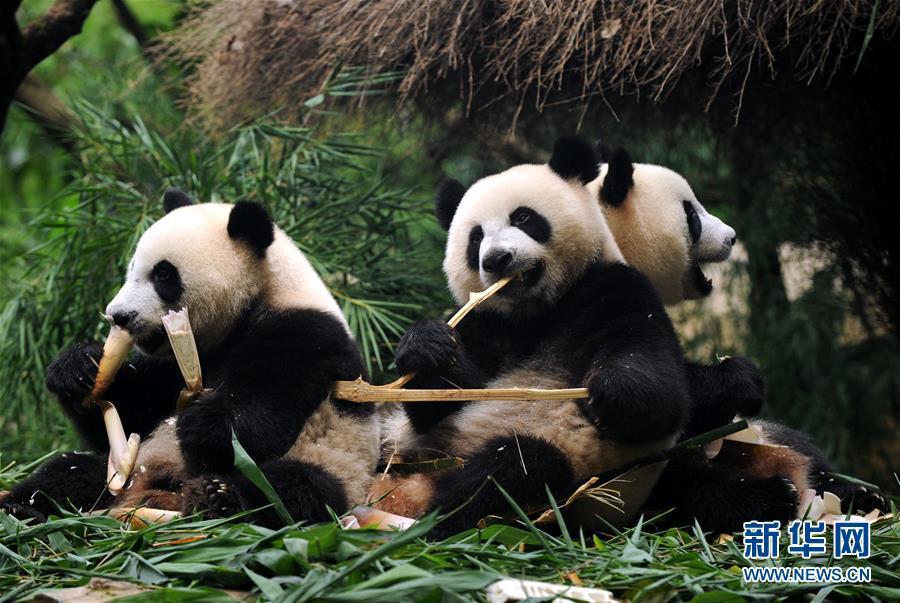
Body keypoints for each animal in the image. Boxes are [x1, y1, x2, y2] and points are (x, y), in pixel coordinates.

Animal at [0, 191, 380, 528]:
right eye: (132, 269)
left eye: (163, 274)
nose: (118, 316)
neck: (264, 293)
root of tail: (157, 489)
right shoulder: (172, 363)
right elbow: (132, 413)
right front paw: (77, 368)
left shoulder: (305, 334)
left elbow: (264, 415)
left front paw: (203, 423)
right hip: (125, 471)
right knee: (68, 471)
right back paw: (23, 508)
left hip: (336, 463)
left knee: (293, 489)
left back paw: (218, 498)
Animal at [378, 134, 688, 536]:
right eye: (475, 238)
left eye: (523, 218)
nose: (496, 259)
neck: (538, 312)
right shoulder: (488, 322)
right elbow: (444, 398)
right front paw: (426, 345)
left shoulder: (613, 288)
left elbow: (662, 393)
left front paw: (611, 392)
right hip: (399, 446)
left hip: (572, 470)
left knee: (511, 469)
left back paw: (436, 520)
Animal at [588, 144, 888, 532]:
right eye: (690, 213)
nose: (732, 236)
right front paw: (740, 380)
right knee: (680, 482)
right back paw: (769, 497)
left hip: (764, 434)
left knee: (798, 445)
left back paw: (854, 494)